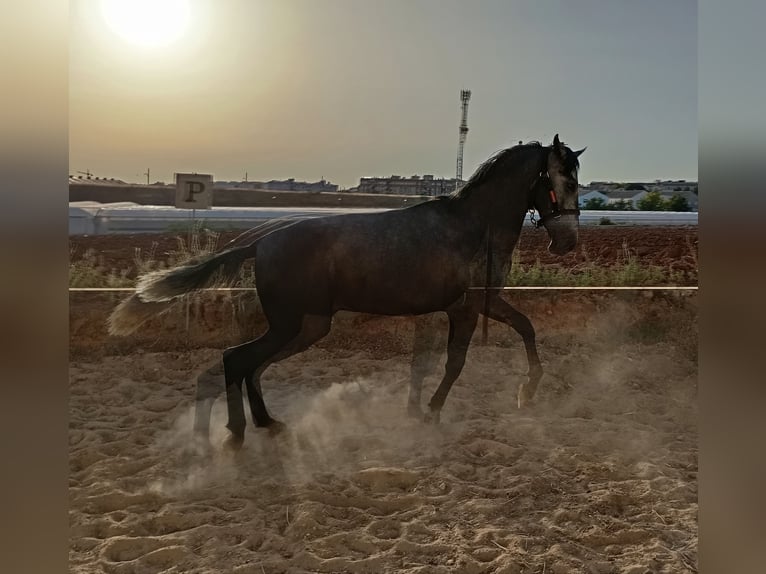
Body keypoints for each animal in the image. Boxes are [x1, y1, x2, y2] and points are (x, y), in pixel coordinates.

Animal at [108, 135, 584, 450]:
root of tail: (263, 241)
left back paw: (262, 425)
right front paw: (437, 411)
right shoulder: (468, 307)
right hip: (294, 326)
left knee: (247, 367)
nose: (568, 242)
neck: (472, 227)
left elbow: (520, 330)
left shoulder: (473, 305)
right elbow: (457, 362)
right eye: (566, 181)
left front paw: (523, 392)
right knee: (236, 360)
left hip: (305, 327)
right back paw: (242, 432)